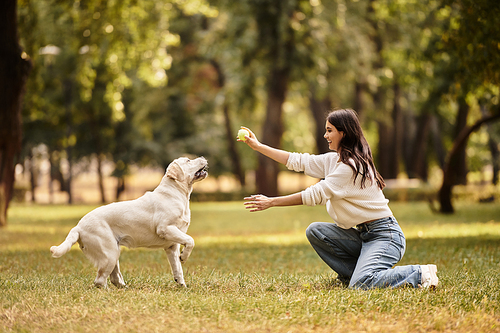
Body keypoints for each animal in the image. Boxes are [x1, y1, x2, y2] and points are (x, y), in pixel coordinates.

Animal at [49, 157, 208, 286]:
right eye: (188, 160)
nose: (203, 157)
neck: (175, 194)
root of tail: (78, 226)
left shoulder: (171, 245)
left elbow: (178, 269)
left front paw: (181, 284)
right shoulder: (165, 228)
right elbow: (190, 241)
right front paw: (184, 256)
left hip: (113, 254)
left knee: (113, 278)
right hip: (110, 254)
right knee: (100, 280)